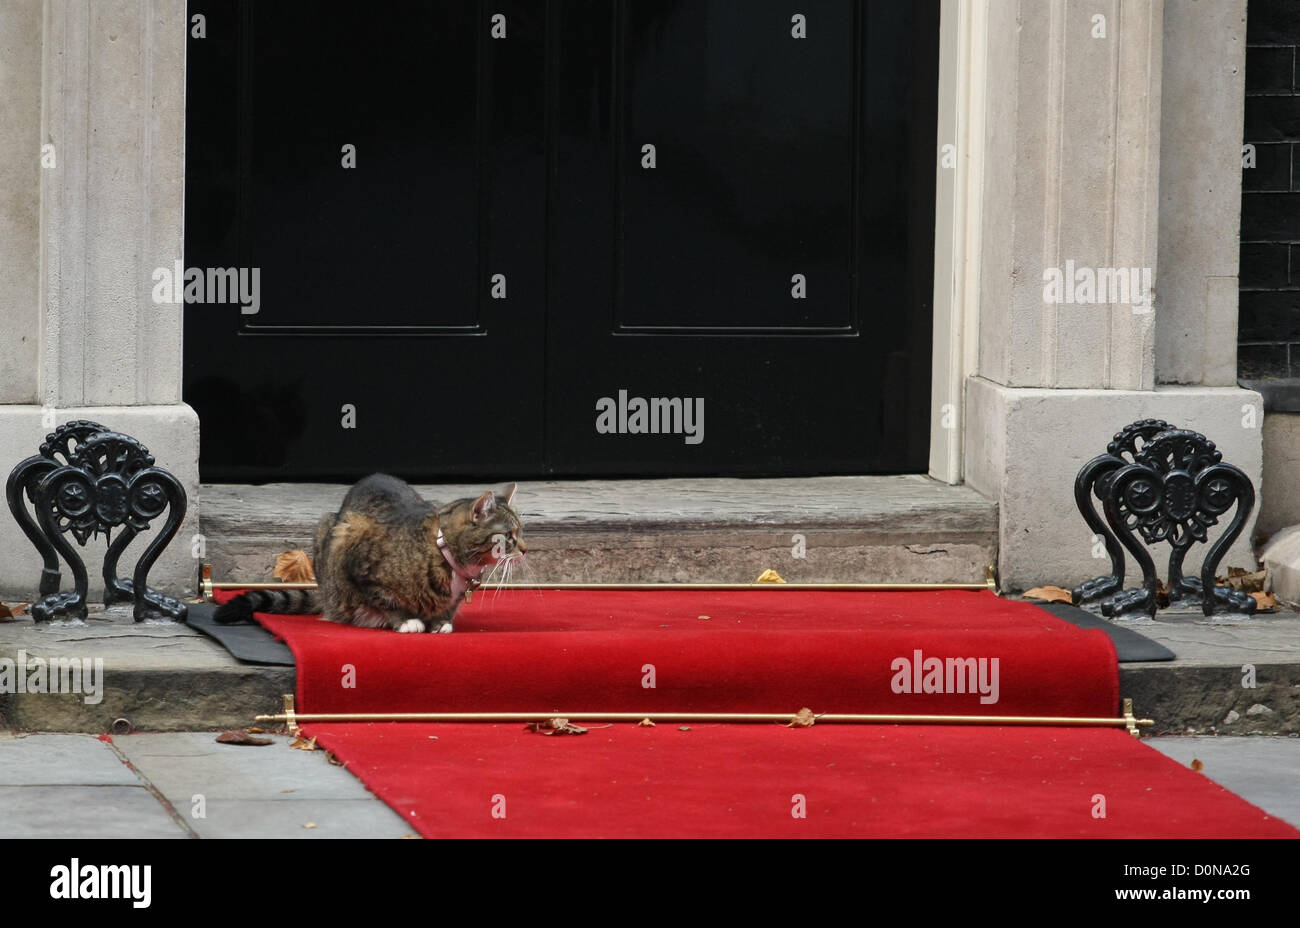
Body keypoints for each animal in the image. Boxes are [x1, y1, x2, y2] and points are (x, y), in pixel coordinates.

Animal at [213, 473, 522, 631]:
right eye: (509, 536)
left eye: (520, 532)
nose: (525, 548)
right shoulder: (358, 564)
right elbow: (386, 600)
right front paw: (406, 621)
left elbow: (447, 608)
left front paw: (440, 622)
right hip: (329, 531)